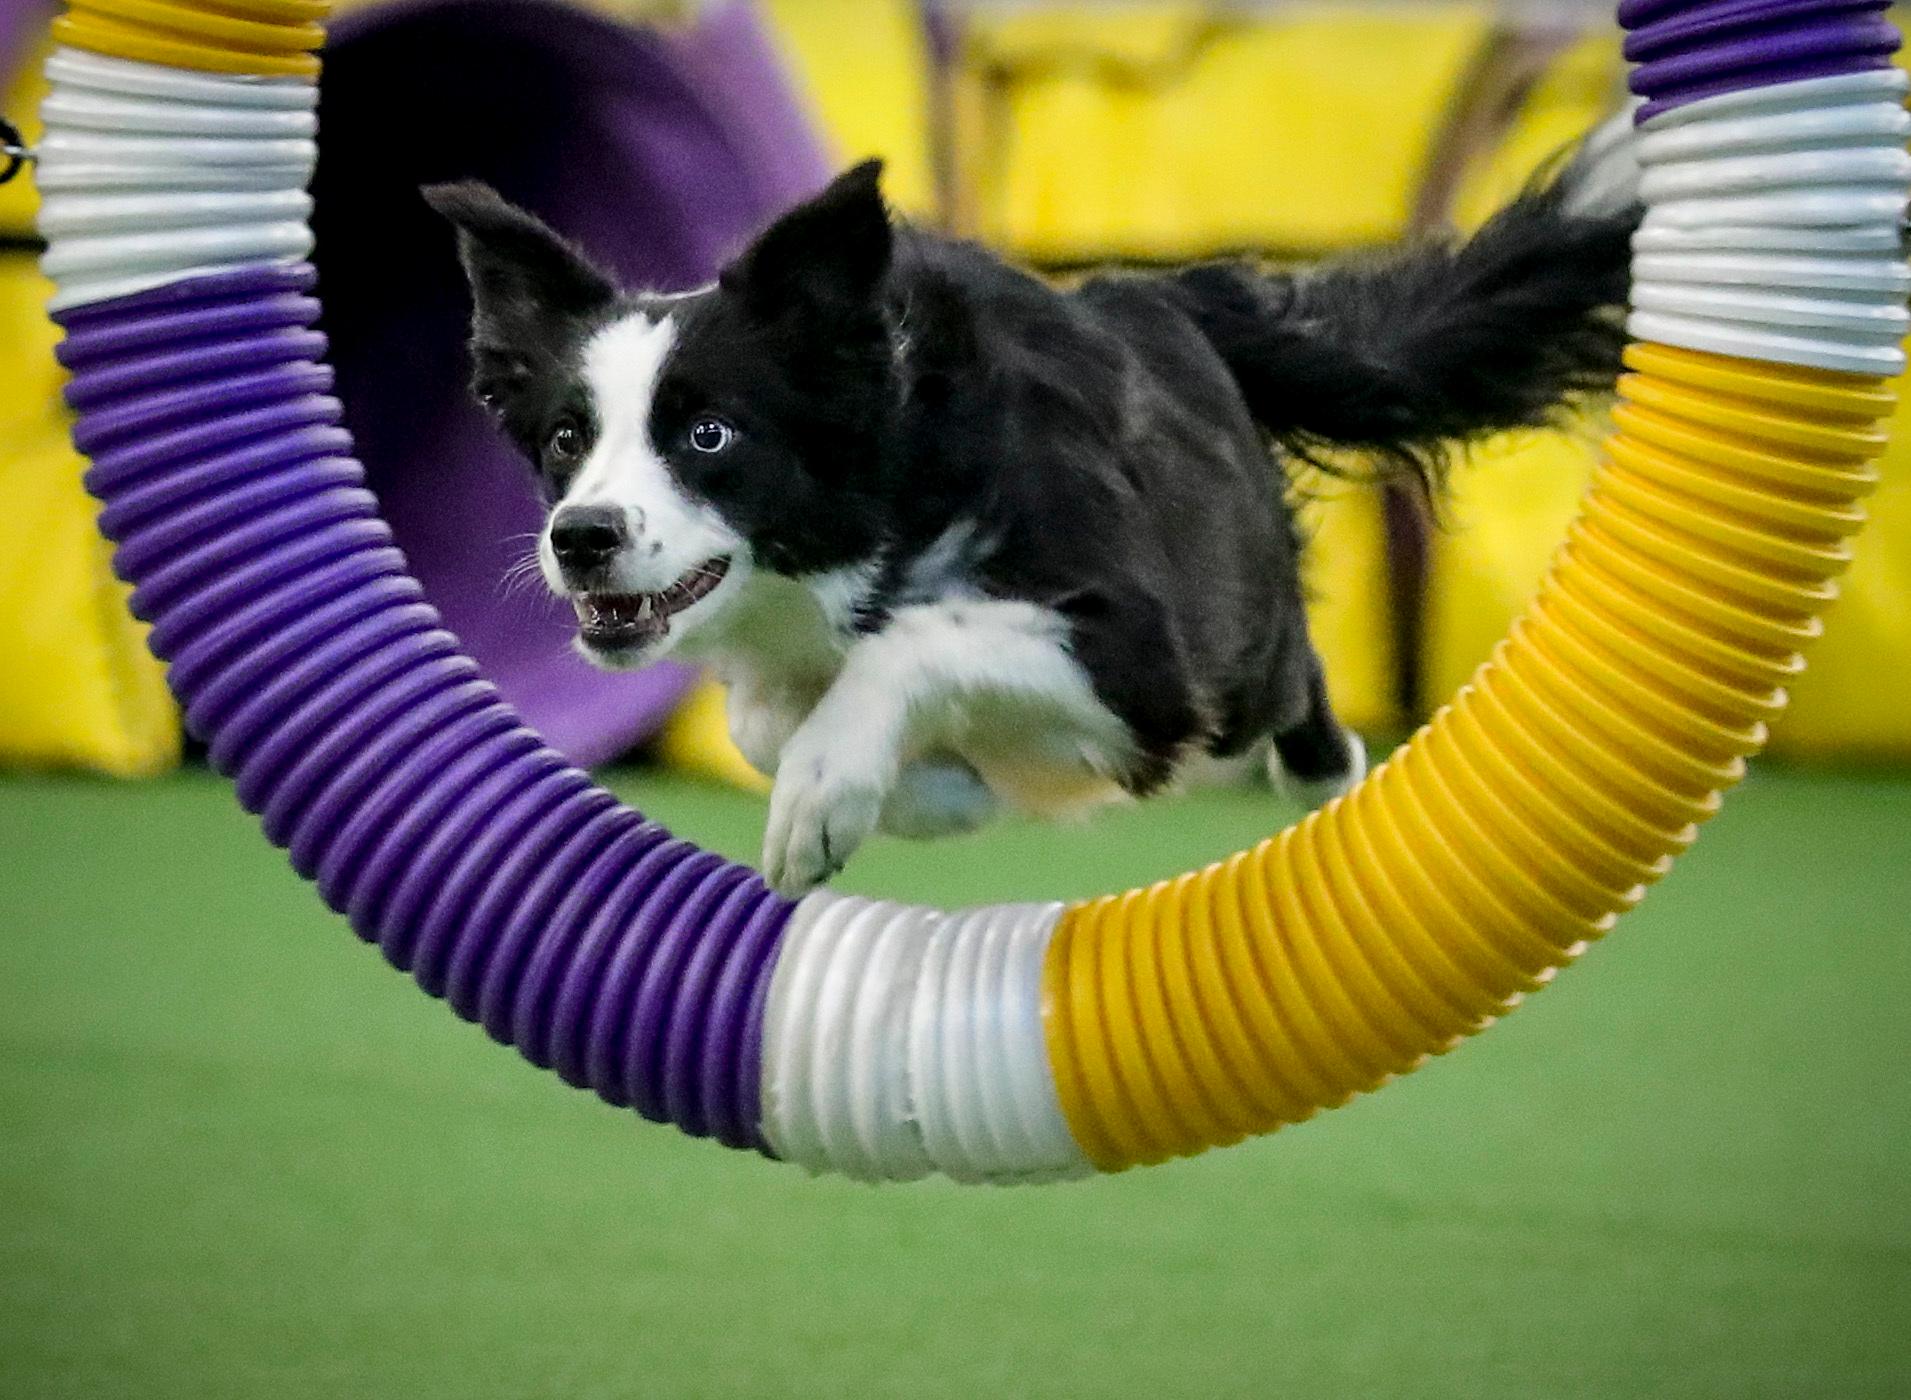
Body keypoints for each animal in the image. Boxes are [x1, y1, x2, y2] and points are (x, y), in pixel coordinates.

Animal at [426, 130, 1635, 893]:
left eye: (710, 434)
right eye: (566, 439)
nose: (581, 540)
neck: (886, 489)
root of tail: (1171, 295)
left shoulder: (1140, 652)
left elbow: (916, 638)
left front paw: (828, 793)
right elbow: (764, 717)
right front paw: (932, 790)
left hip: (1232, 649)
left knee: (1293, 682)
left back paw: (1329, 774)